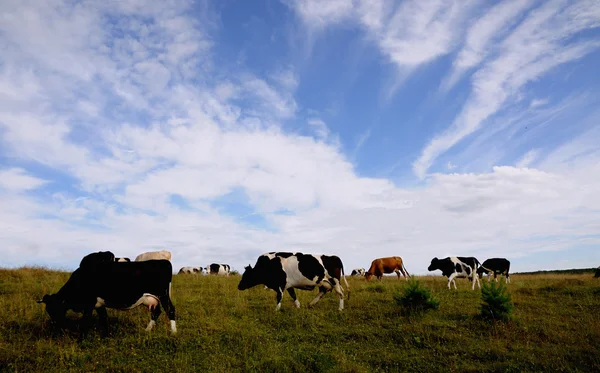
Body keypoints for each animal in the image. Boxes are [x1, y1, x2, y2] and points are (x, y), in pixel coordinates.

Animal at [37, 250, 176, 338]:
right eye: (49, 310)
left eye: (57, 309)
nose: (56, 325)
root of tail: (164, 261)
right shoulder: (99, 304)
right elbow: (104, 320)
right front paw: (106, 336)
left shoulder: (89, 304)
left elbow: (85, 322)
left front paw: (81, 339)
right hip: (150, 299)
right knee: (156, 312)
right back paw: (147, 331)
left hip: (163, 295)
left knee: (170, 310)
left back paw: (174, 333)